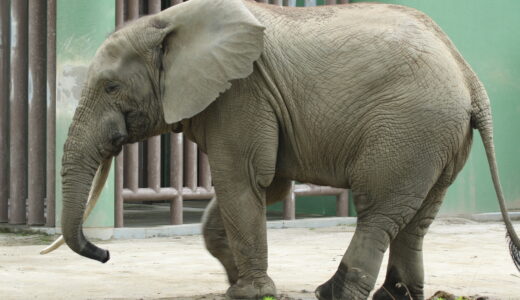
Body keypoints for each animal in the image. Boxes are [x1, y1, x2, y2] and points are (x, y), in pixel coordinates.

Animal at [42, 0, 516, 300]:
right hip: (438, 136)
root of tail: (469, 76)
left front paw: (251, 293)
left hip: (409, 127)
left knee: (378, 210)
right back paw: (395, 296)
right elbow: (265, 186)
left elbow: (241, 180)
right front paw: (236, 284)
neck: (168, 23)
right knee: (417, 217)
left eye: (110, 87)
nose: (105, 254)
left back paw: (334, 293)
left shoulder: (241, 93)